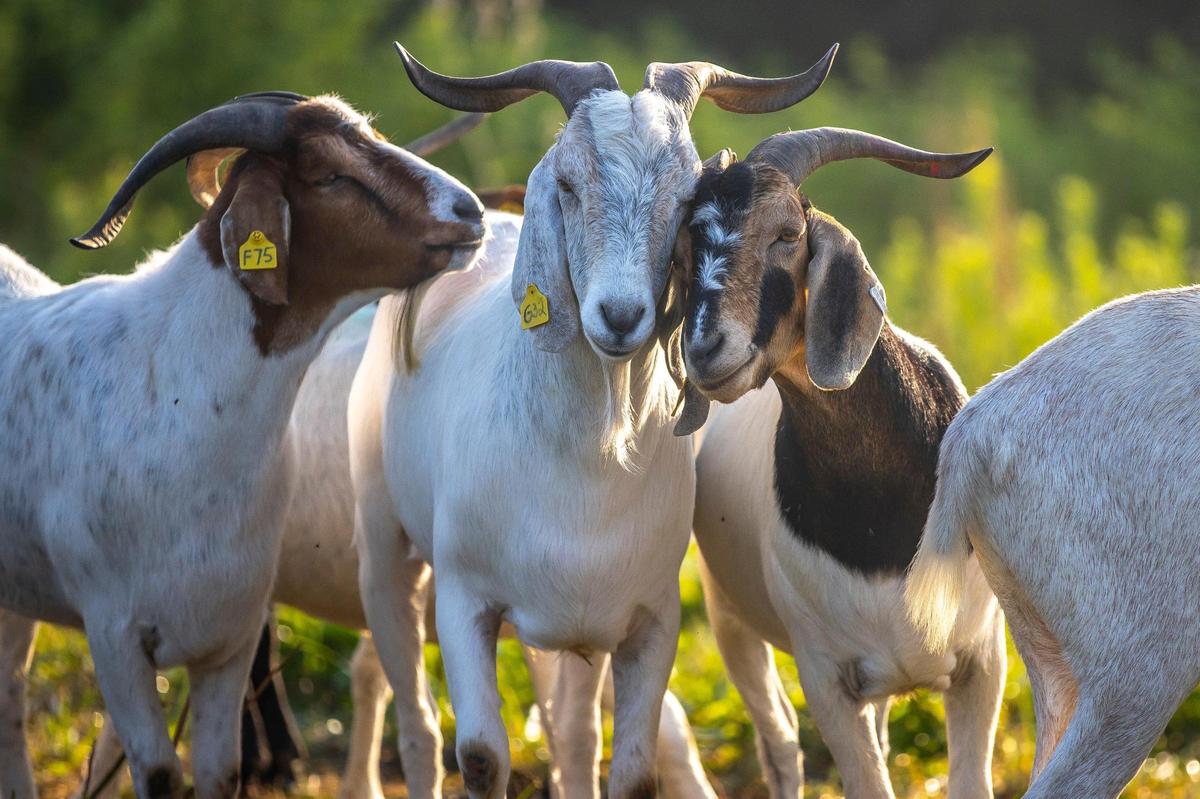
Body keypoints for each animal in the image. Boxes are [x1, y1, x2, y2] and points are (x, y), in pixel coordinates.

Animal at [0, 91, 484, 799]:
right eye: (328, 174)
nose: (470, 211)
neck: (176, 390)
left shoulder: (227, 635)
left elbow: (220, 773)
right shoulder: (114, 639)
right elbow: (159, 774)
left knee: (8, 693)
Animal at [345, 44, 838, 799]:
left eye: (684, 197)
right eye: (570, 184)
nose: (621, 315)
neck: (583, 463)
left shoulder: (648, 620)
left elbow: (629, 770)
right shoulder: (465, 601)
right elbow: (482, 755)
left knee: (573, 736)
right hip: (385, 550)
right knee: (417, 719)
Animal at [679, 129, 1003, 799]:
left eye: (786, 234)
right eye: (689, 242)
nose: (705, 349)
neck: (878, 523)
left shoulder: (982, 662)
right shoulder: (826, 676)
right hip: (727, 616)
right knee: (778, 739)